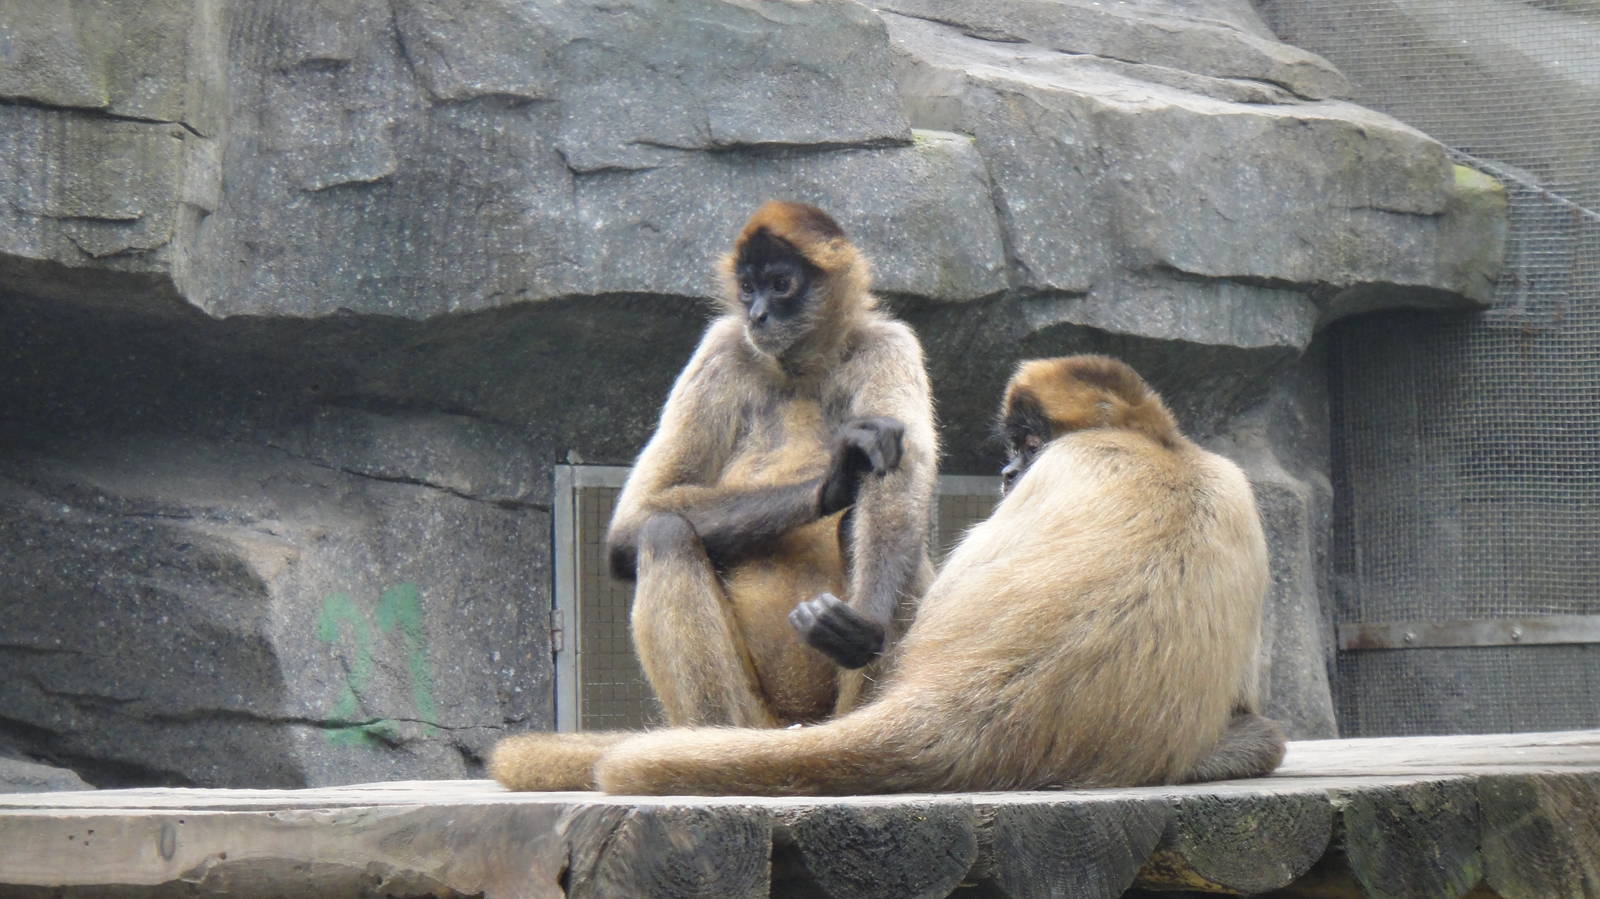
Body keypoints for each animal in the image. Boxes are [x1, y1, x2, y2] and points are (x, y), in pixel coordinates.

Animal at [490, 202, 937, 791]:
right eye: (747, 288)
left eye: (780, 284)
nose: (759, 315)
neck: (802, 369)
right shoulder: (724, 344)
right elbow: (633, 523)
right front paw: (836, 477)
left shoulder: (887, 342)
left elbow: (900, 492)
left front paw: (865, 624)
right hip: (753, 715)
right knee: (664, 531)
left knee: (886, 533)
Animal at [575, 355, 1284, 795]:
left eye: (1027, 447)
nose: (1007, 472)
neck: (1161, 447)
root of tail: (969, 712)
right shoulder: (1229, 482)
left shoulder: (1075, 462)